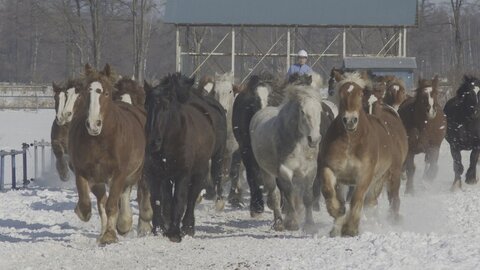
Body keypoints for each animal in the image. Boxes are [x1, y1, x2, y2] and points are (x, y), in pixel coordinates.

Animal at [67, 65, 152, 245]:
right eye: (85, 92)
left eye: (105, 93)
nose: (93, 124)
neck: (100, 140)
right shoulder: (84, 172)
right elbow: (88, 203)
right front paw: (85, 215)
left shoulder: (120, 172)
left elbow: (112, 204)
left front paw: (110, 235)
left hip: (135, 172)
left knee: (130, 192)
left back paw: (128, 223)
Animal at [144, 74, 227, 243]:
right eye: (146, 106)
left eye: (165, 107)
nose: (153, 142)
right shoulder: (156, 174)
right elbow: (157, 200)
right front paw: (158, 230)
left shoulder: (182, 174)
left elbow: (179, 199)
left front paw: (174, 233)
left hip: (201, 171)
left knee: (191, 198)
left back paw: (188, 227)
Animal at [251, 85, 322, 232]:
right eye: (302, 111)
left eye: (320, 110)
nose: (314, 139)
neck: (299, 144)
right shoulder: (285, 170)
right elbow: (289, 193)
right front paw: (292, 223)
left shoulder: (310, 170)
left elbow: (307, 196)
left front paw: (310, 224)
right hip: (266, 172)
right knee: (275, 195)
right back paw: (279, 223)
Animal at [318, 72, 408, 236]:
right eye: (341, 94)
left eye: (360, 94)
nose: (350, 120)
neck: (350, 140)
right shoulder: (330, 168)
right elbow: (329, 191)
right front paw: (336, 213)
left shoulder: (366, 174)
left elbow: (357, 198)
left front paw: (350, 228)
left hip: (386, 176)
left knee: (383, 199)